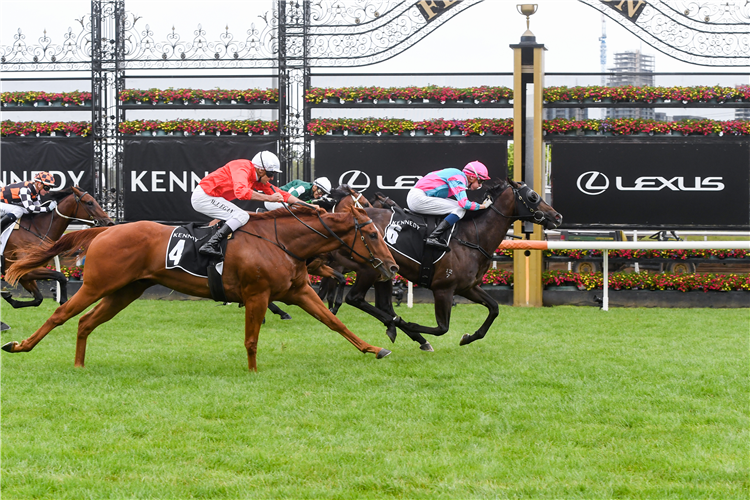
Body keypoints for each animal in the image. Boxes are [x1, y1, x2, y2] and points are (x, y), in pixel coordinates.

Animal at [2, 204, 402, 372]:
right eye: (370, 234)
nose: (394, 267)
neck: (281, 241)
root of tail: (103, 232)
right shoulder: (256, 294)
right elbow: (251, 339)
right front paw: (253, 372)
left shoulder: (297, 292)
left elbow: (336, 323)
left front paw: (375, 348)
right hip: (99, 284)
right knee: (60, 315)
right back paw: (20, 345)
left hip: (125, 291)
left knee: (85, 323)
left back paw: (79, 364)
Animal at [334, 180, 564, 352]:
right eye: (533, 196)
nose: (557, 216)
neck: (472, 237)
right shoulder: (443, 289)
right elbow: (442, 328)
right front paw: (407, 324)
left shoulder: (467, 287)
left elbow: (494, 308)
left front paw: (468, 337)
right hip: (370, 268)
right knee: (354, 298)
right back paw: (399, 326)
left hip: (385, 272)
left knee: (382, 305)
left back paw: (404, 331)